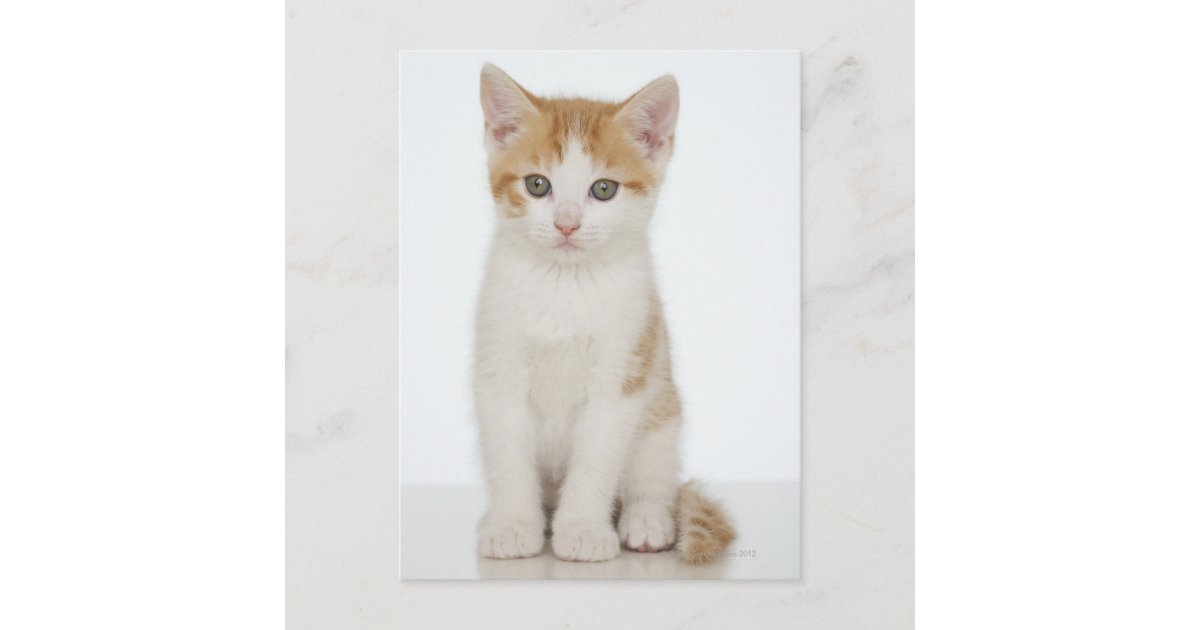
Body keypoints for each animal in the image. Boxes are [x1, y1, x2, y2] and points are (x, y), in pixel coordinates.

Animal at [472, 65, 734, 564]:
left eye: (604, 189)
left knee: (653, 476)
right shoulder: (499, 364)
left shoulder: (623, 366)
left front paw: (583, 530)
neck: (565, 284)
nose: (567, 223)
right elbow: (507, 450)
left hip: (661, 413)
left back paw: (646, 519)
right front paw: (514, 526)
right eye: (537, 184)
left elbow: (598, 455)